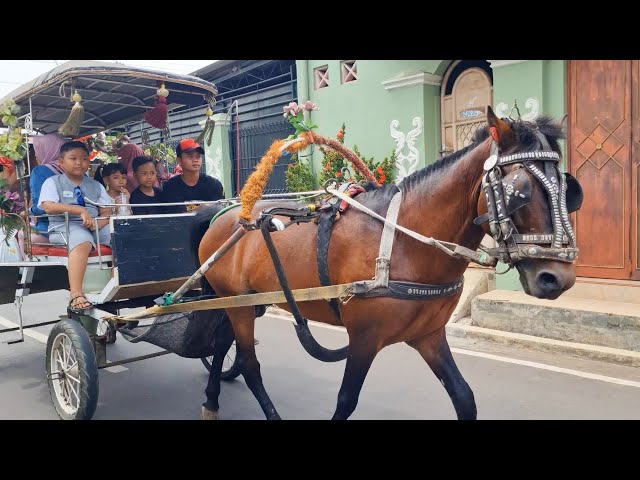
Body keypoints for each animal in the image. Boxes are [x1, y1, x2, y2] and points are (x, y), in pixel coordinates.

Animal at [190, 107, 580, 418]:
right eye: (520, 191)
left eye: (569, 189)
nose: (557, 278)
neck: (405, 240)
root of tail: (222, 213)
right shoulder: (364, 338)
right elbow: (346, 400)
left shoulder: (428, 335)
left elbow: (464, 397)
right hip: (239, 305)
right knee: (250, 364)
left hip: (244, 303)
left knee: (224, 344)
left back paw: (211, 399)